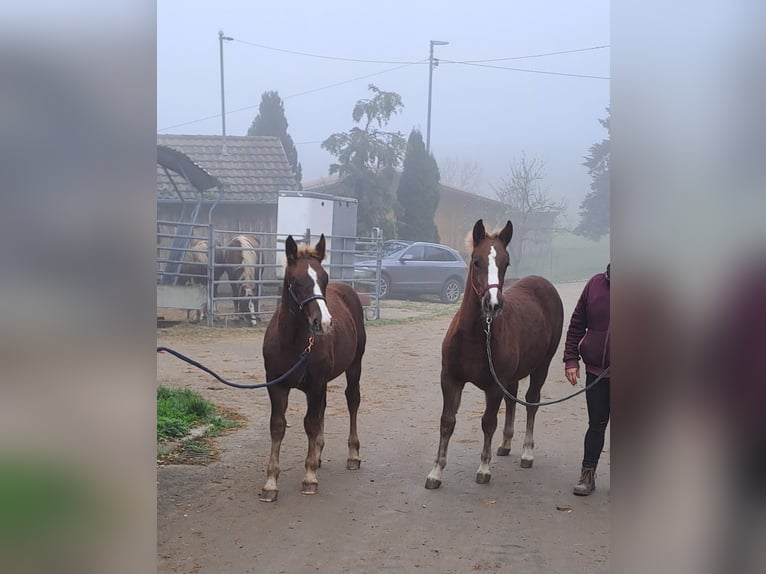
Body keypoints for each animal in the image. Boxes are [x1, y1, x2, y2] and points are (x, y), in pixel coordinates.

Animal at [260, 234, 368, 504]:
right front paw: (270, 482)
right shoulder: (276, 383)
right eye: (297, 281)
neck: (293, 343)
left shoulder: (316, 383)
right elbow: (278, 425)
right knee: (322, 410)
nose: (325, 323)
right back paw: (318, 453)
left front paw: (309, 478)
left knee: (352, 400)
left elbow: (310, 423)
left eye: (324, 278)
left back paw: (352, 454)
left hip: (354, 365)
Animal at [426, 220, 564, 490]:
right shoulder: (450, 379)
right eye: (476, 261)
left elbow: (488, 423)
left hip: (541, 366)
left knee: (531, 401)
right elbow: (447, 422)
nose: (493, 304)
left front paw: (484, 468)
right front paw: (436, 472)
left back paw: (527, 452)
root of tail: (544, 283)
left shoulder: (493, 387)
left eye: (506, 263)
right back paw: (506, 443)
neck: (474, 336)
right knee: (513, 400)